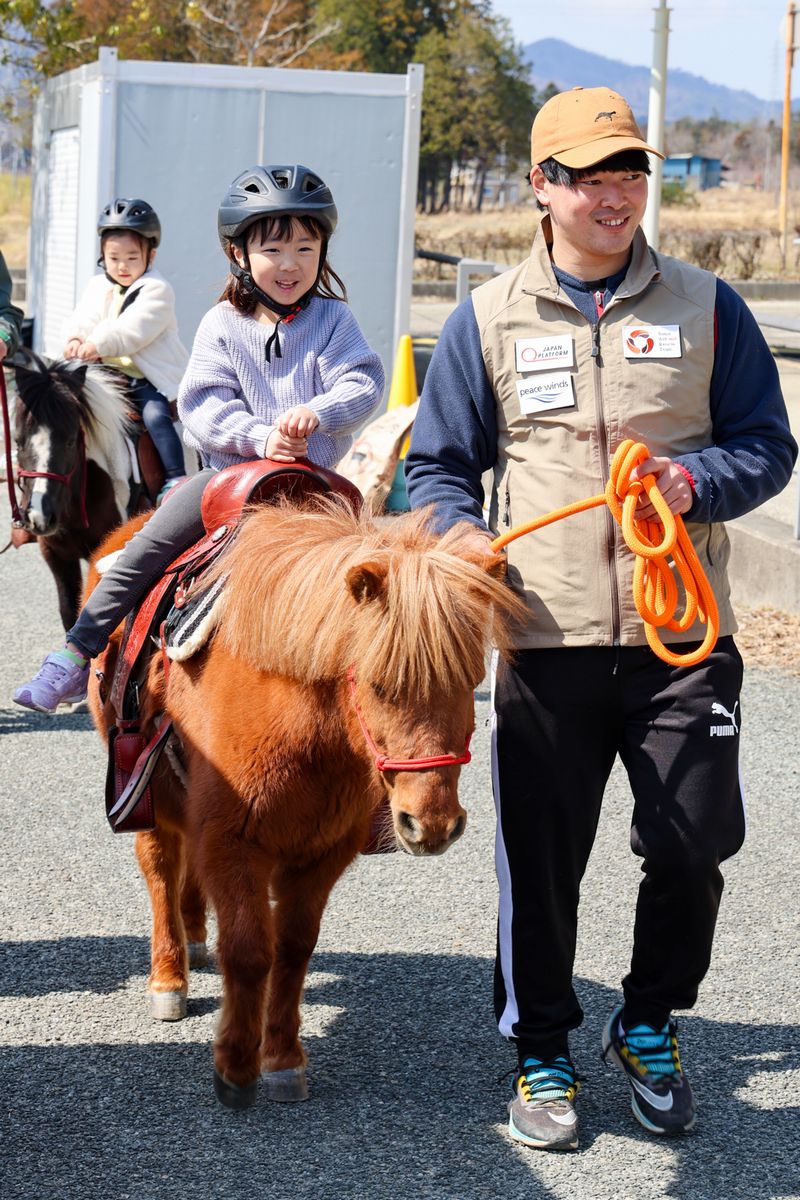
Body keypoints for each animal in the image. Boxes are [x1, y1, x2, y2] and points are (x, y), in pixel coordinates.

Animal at [89, 494, 525, 1104]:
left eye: (468, 680)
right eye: (378, 683)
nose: (431, 823)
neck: (306, 730)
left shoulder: (321, 851)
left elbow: (292, 950)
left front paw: (282, 1057)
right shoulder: (233, 842)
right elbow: (249, 951)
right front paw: (235, 1067)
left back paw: (195, 935)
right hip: (150, 798)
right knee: (160, 872)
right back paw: (170, 975)